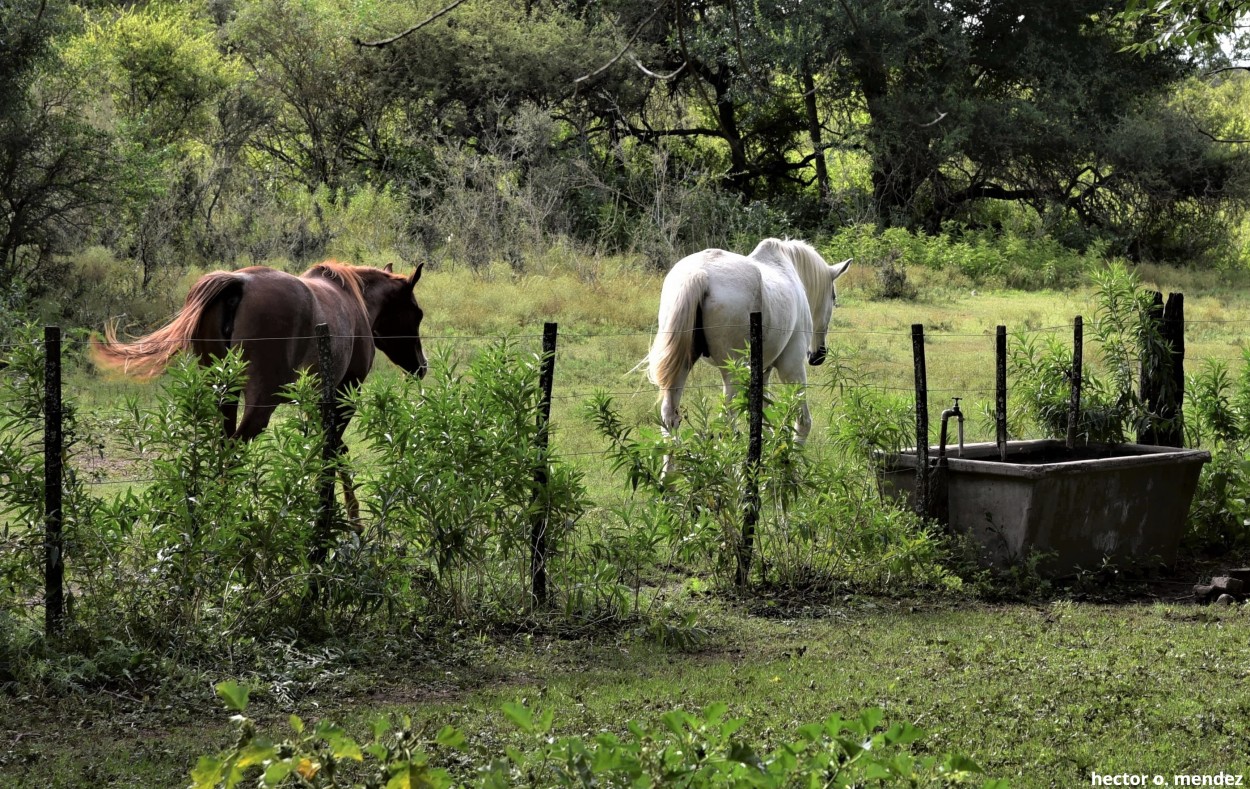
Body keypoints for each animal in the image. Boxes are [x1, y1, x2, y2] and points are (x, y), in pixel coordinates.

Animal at [90, 262, 427, 522]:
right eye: (418, 313)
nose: (422, 366)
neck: (353, 300)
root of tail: (238, 283)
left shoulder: (318, 400)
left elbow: (329, 447)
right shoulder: (344, 394)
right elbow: (334, 449)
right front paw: (346, 517)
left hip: (223, 396)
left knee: (223, 448)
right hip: (260, 403)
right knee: (236, 449)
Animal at [645, 237, 850, 465]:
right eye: (833, 297)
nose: (818, 355)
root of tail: (700, 274)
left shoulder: (763, 372)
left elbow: (765, 420)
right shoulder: (792, 367)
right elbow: (802, 421)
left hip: (681, 368)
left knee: (670, 420)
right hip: (732, 373)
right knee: (726, 426)